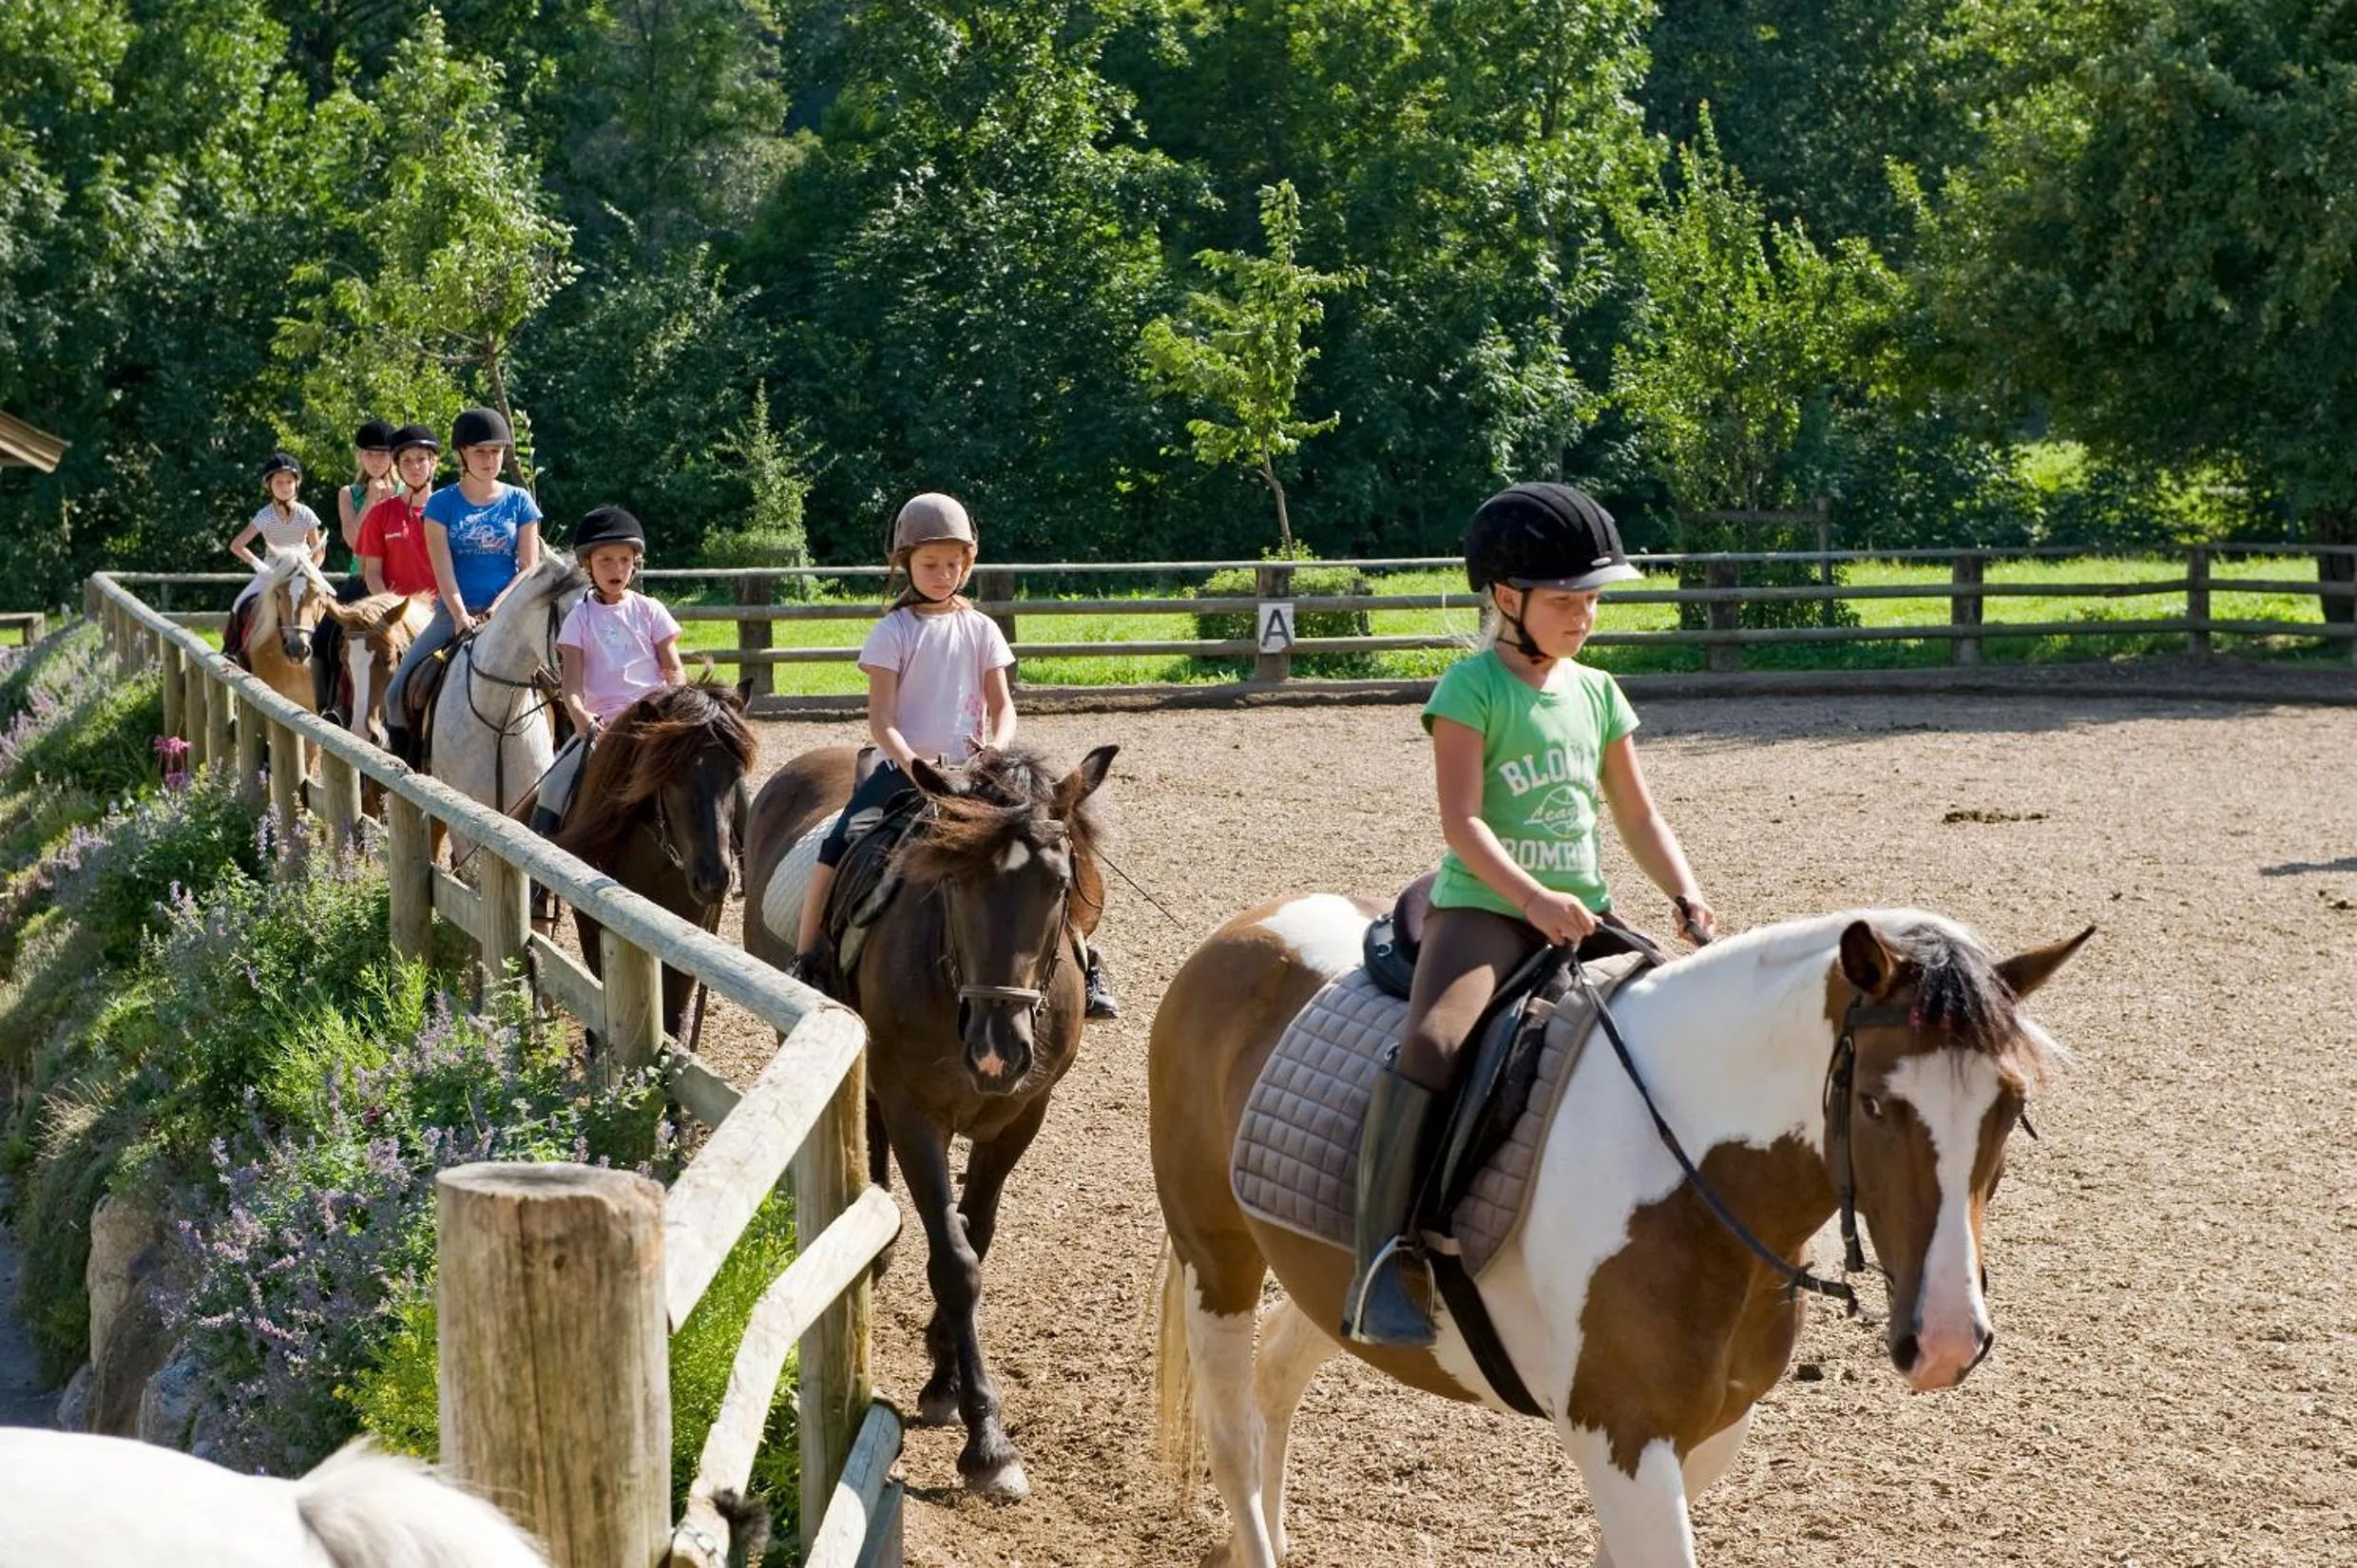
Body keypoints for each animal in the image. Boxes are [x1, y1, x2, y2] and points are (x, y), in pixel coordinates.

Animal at [742, 741, 1117, 1501]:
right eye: (952, 885)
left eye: (1060, 885)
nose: (999, 1049)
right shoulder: (918, 1112)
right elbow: (955, 1261)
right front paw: (987, 1442)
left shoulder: (1021, 1116)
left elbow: (977, 1238)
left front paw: (944, 1380)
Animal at [1150, 903, 2089, 1568]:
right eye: (1874, 1104)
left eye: (2009, 1107)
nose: (1947, 1340)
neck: (1686, 1174)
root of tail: (1241, 933)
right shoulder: (1623, 1440)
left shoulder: (1709, 1431)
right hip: (1216, 1261)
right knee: (1231, 1438)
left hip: (1327, 1283)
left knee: (1278, 1374)